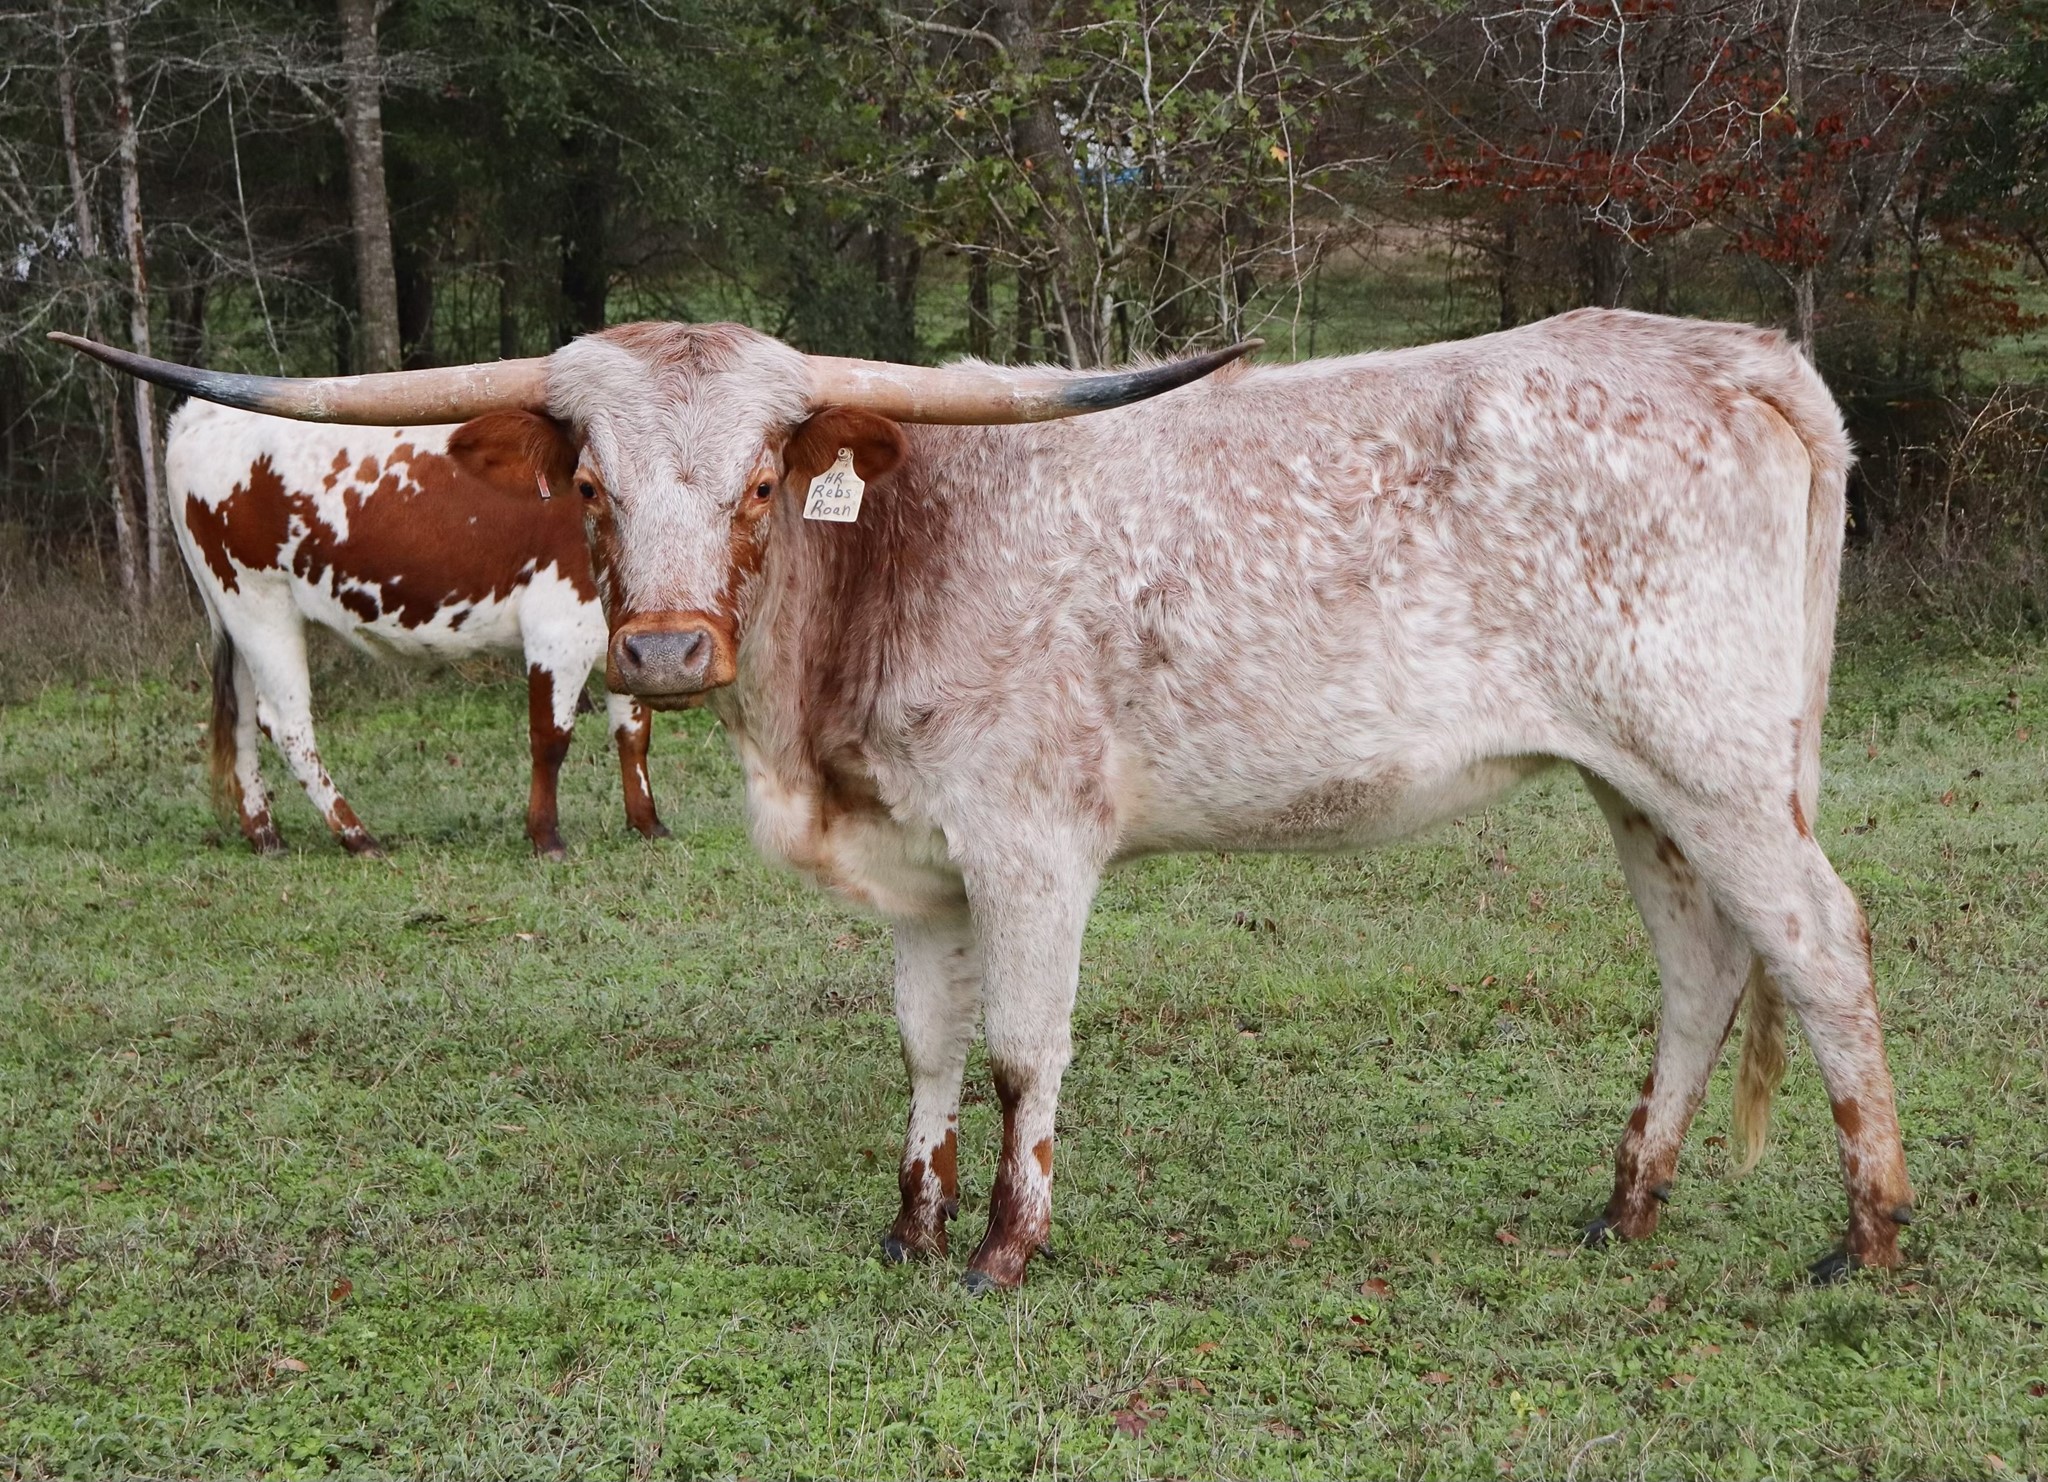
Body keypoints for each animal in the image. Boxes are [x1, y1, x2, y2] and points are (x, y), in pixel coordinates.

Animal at [164, 400, 667, 858]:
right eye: (590, 486)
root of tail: (201, 413)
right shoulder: (559, 627)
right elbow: (551, 737)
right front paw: (546, 837)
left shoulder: (622, 639)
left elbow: (633, 731)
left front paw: (647, 822)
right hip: (260, 604)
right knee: (285, 723)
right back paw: (356, 835)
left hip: (234, 615)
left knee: (241, 719)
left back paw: (266, 834)